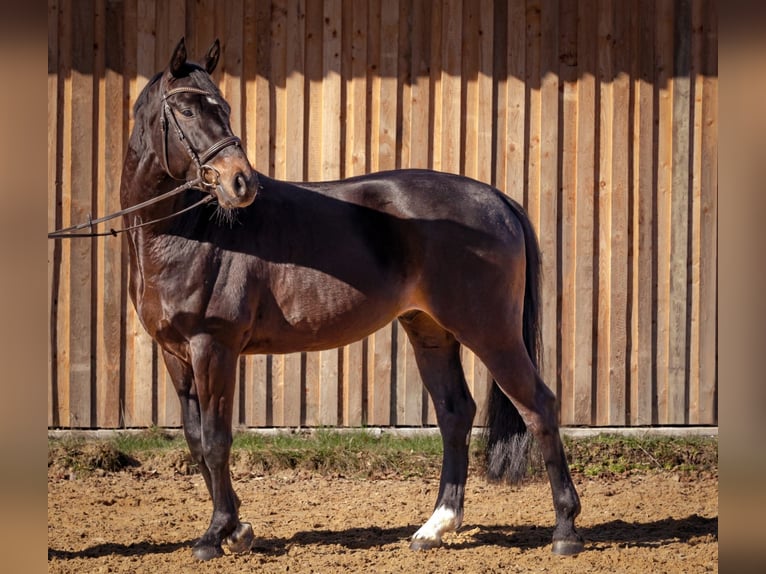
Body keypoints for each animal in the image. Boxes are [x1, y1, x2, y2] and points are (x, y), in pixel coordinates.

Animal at [120, 37, 583, 561]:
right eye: (185, 108)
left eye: (223, 107)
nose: (242, 182)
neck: (190, 232)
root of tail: (496, 199)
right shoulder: (176, 353)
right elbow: (197, 441)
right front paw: (235, 529)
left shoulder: (213, 347)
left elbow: (217, 440)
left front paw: (215, 535)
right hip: (431, 331)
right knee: (455, 413)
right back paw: (435, 527)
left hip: (491, 331)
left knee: (538, 406)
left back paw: (565, 530)